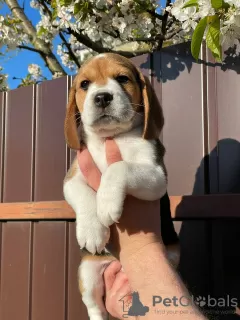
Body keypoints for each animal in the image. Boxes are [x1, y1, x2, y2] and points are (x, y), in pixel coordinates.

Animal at [62, 53, 179, 320]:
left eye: (122, 78)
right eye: (85, 84)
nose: (102, 96)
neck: (112, 137)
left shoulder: (157, 176)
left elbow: (118, 168)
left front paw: (106, 203)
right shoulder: (73, 178)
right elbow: (83, 194)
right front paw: (92, 230)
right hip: (87, 273)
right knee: (95, 306)